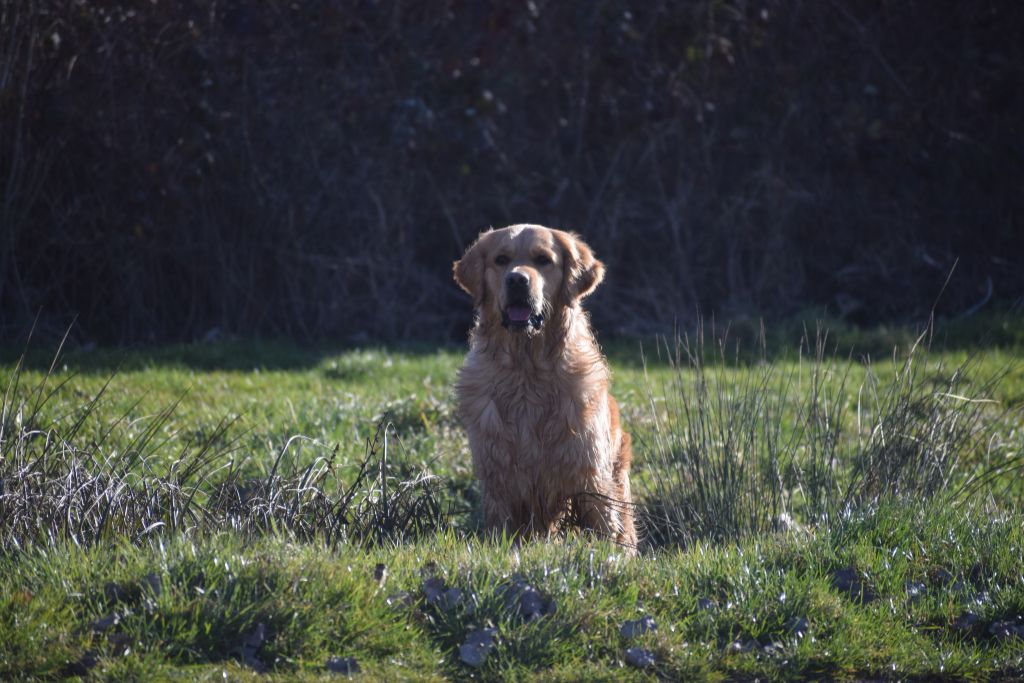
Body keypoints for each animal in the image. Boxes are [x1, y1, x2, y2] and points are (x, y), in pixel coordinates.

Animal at [454, 227, 634, 552]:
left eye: (543, 260)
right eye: (501, 260)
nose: (517, 280)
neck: (528, 370)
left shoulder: (590, 471)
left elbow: (605, 523)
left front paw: (610, 556)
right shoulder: (497, 474)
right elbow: (501, 525)